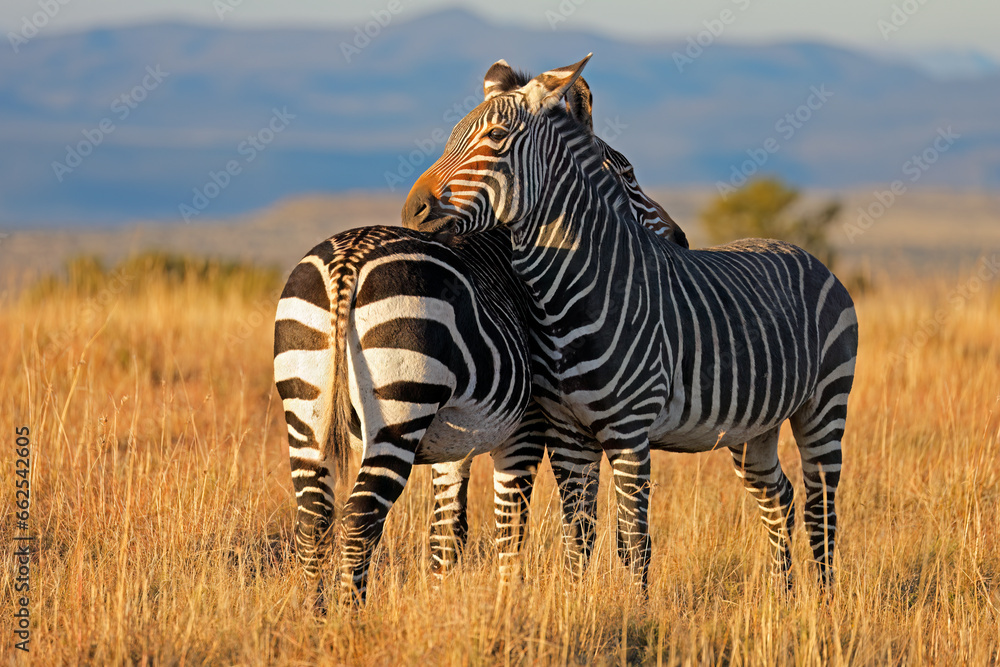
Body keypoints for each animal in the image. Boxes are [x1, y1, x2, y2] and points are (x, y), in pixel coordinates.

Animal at [273, 66, 690, 605]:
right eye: (629, 173)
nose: (681, 240)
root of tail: (349, 259)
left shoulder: (452, 442)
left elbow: (447, 536)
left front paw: (440, 604)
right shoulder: (526, 429)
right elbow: (510, 530)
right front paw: (508, 605)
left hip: (306, 409)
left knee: (313, 521)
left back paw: (316, 614)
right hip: (397, 412)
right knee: (360, 520)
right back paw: (349, 617)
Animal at [401, 55, 858, 590]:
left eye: (494, 138)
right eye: (451, 138)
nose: (412, 210)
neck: (562, 301)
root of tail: (800, 251)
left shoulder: (629, 432)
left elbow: (634, 544)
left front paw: (635, 607)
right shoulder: (567, 434)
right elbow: (578, 538)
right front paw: (575, 602)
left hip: (824, 403)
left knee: (821, 506)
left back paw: (821, 600)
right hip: (753, 427)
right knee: (779, 496)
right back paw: (783, 594)